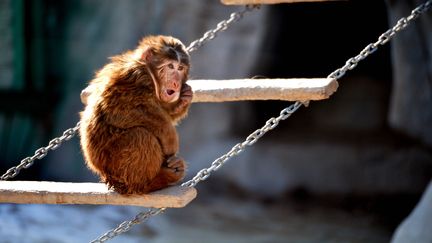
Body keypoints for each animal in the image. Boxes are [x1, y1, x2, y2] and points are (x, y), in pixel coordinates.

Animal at [79, 35, 192, 195]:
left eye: (180, 68)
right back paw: (151, 182)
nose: (176, 83)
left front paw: (183, 99)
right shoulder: (137, 75)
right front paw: (170, 138)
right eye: (170, 66)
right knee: (140, 135)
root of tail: (108, 178)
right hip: (116, 162)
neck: (150, 73)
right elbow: (121, 111)